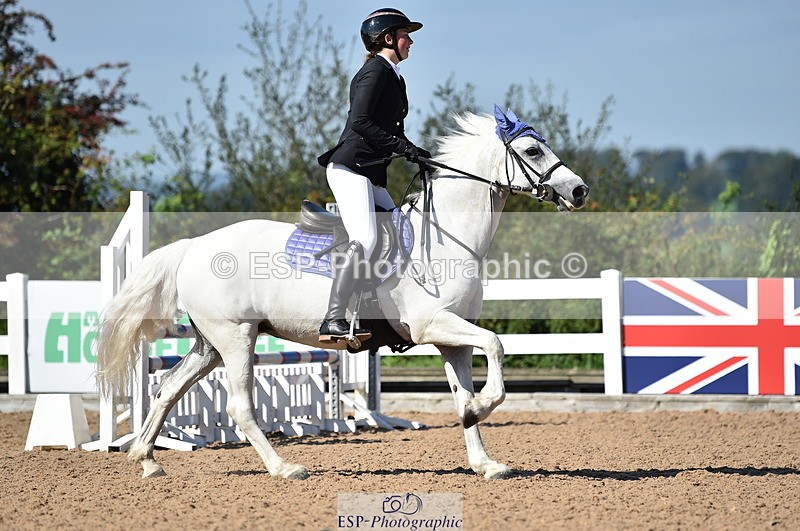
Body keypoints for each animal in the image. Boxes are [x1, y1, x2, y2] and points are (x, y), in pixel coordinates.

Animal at [96, 106, 589, 480]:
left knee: (168, 389)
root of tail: (194, 246)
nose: (579, 190)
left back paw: (147, 460)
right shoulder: (433, 326)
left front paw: (484, 458)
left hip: (210, 343)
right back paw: (284, 468)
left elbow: (463, 389)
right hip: (235, 337)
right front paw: (482, 409)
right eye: (532, 150)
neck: (450, 236)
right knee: (238, 406)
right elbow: (497, 345)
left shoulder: (453, 339)